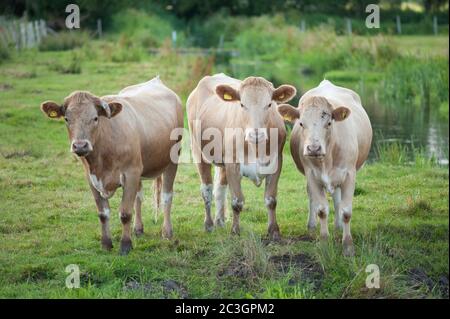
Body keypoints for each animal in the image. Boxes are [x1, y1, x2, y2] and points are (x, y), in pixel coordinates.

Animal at [40, 77, 183, 255]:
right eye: (67, 119)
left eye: (95, 118)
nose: (80, 146)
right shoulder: (92, 178)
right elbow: (103, 213)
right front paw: (106, 243)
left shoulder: (130, 173)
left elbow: (125, 213)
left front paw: (125, 245)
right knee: (139, 197)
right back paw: (138, 229)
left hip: (172, 161)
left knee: (166, 196)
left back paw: (167, 232)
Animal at [185, 74, 298, 241]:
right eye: (242, 104)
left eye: (269, 104)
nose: (255, 134)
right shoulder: (233, 165)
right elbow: (237, 202)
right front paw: (235, 231)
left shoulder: (276, 163)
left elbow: (271, 200)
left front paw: (274, 231)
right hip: (198, 152)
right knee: (207, 189)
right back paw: (209, 225)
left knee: (220, 188)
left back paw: (220, 221)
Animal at [278, 80, 372, 258]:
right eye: (301, 123)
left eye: (329, 123)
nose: (313, 148)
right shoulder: (312, 176)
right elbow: (321, 210)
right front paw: (323, 244)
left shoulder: (349, 175)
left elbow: (346, 211)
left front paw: (348, 247)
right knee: (314, 198)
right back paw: (311, 225)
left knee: (337, 198)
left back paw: (338, 226)